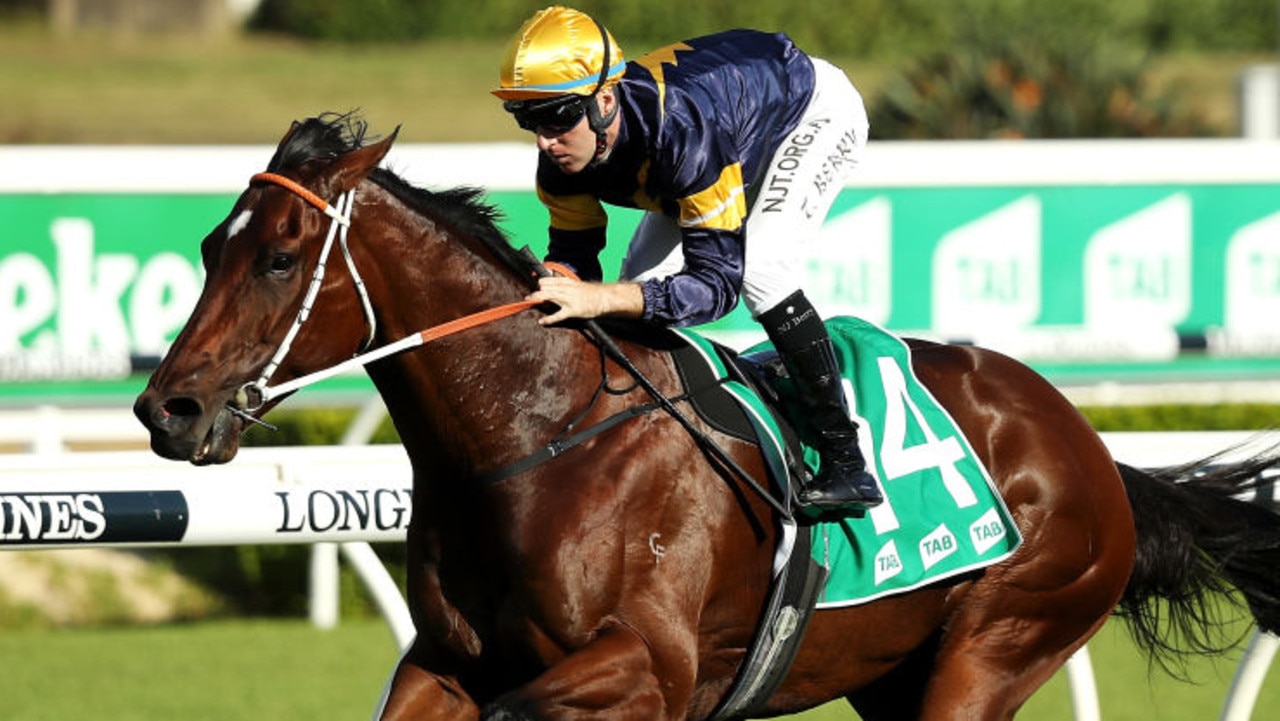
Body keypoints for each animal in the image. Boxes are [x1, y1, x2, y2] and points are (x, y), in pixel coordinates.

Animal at [135, 112, 1280, 721]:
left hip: (998, 640)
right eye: (211, 245)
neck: (530, 440)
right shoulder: (444, 662)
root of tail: (1087, 446)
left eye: (281, 256)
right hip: (894, 671)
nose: (166, 405)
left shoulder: (647, 670)